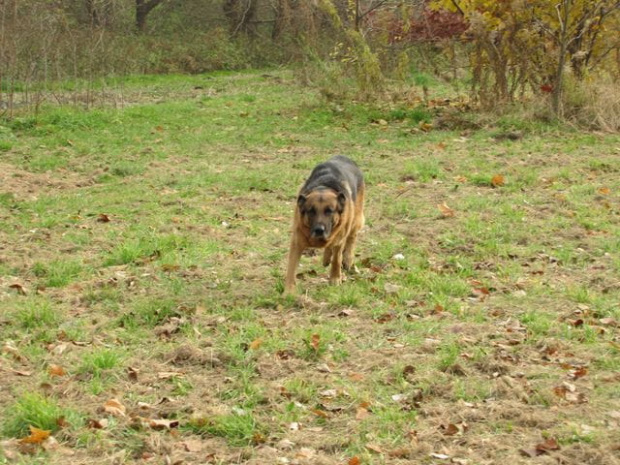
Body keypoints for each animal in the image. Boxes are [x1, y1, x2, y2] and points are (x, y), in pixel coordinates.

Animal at [284, 156, 366, 294]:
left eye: (329, 211)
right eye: (311, 211)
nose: (319, 230)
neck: (323, 187)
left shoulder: (339, 239)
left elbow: (337, 259)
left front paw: (334, 279)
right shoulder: (296, 242)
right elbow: (291, 267)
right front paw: (288, 291)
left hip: (355, 219)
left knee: (351, 238)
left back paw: (347, 258)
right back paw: (326, 257)